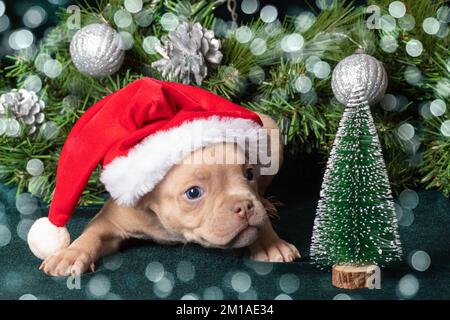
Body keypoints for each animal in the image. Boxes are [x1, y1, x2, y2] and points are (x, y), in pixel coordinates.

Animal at [38, 114, 298, 276]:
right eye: (193, 193)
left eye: (249, 173)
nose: (245, 206)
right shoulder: (110, 220)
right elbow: (91, 235)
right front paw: (70, 254)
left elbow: (261, 224)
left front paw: (270, 243)